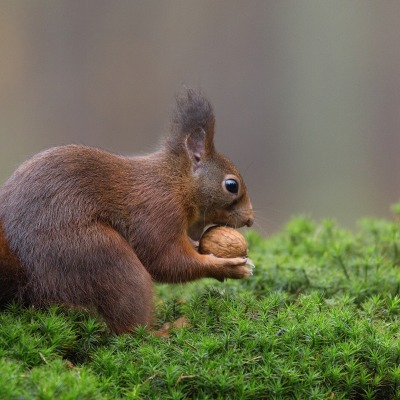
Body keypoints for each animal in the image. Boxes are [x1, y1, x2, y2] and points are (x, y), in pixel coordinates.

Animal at [0, 89, 255, 332]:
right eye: (231, 185)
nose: (250, 219)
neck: (175, 182)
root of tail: (29, 279)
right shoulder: (158, 209)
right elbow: (164, 260)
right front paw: (226, 267)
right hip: (97, 256)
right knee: (130, 327)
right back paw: (165, 330)